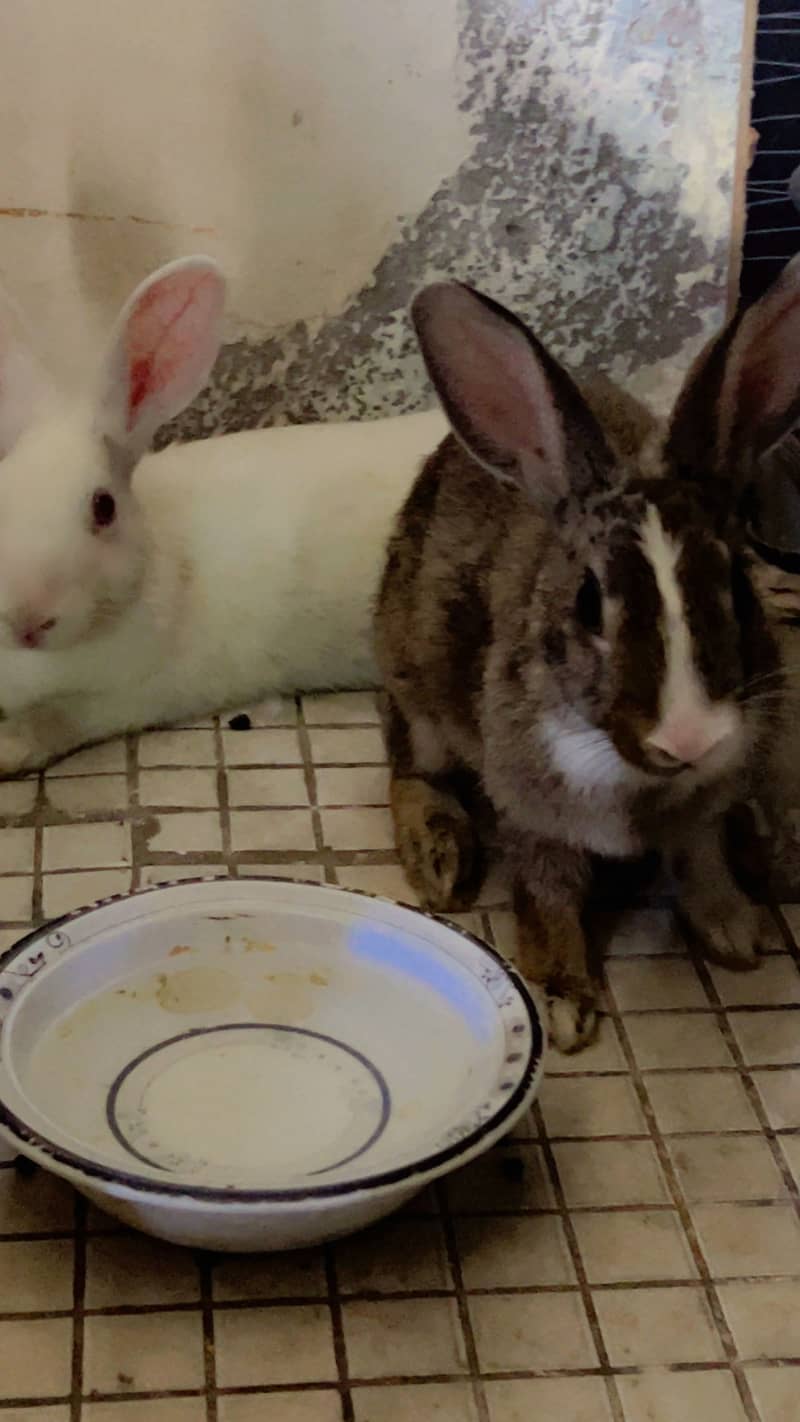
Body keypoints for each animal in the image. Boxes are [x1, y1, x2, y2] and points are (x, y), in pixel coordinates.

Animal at [374, 259, 800, 1052]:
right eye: (587, 601)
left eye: (736, 582)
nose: (689, 735)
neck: (644, 780)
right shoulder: (535, 816)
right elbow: (549, 897)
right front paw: (563, 1003)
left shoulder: (706, 809)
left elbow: (700, 855)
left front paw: (734, 933)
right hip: (414, 688)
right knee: (411, 769)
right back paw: (438, 856)